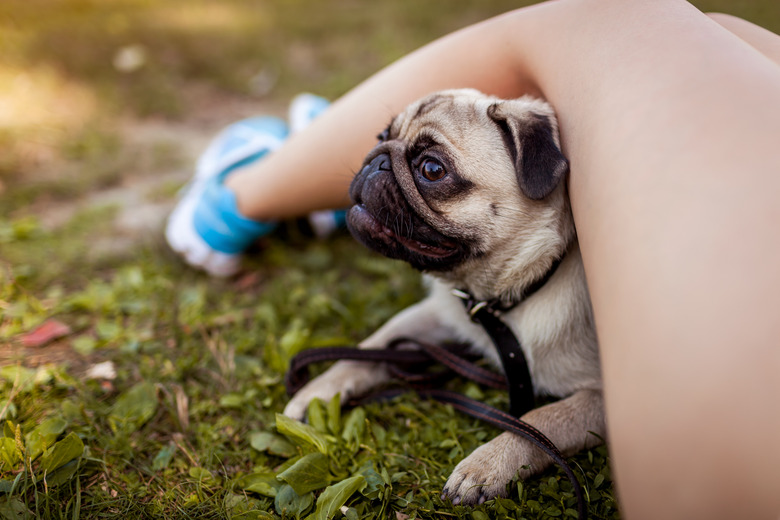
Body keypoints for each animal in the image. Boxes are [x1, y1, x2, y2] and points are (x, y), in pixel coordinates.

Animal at [284, 88, 608, 504]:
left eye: (432, 170)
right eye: (381, 135)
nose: (376, 160)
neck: (497, 298)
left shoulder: (602, 400)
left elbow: (541, 421)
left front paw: (485, 466)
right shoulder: (435, 315)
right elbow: (374, 346)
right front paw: (317, 393)